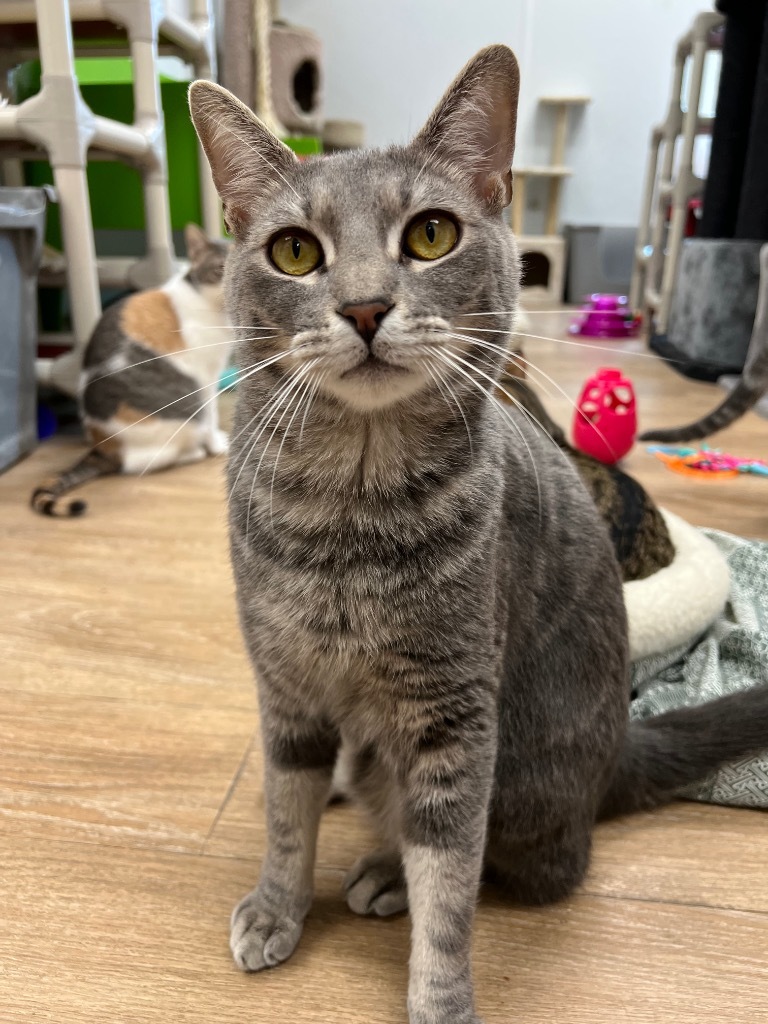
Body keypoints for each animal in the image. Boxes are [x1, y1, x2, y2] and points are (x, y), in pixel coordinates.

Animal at [30, 223, 234, 512]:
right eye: (220, 267)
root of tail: (103, 446)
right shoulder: (205, 375)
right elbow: (212, 414)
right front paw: (217, 444)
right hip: (185, 410)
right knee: (140, 463)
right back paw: (193, 452)